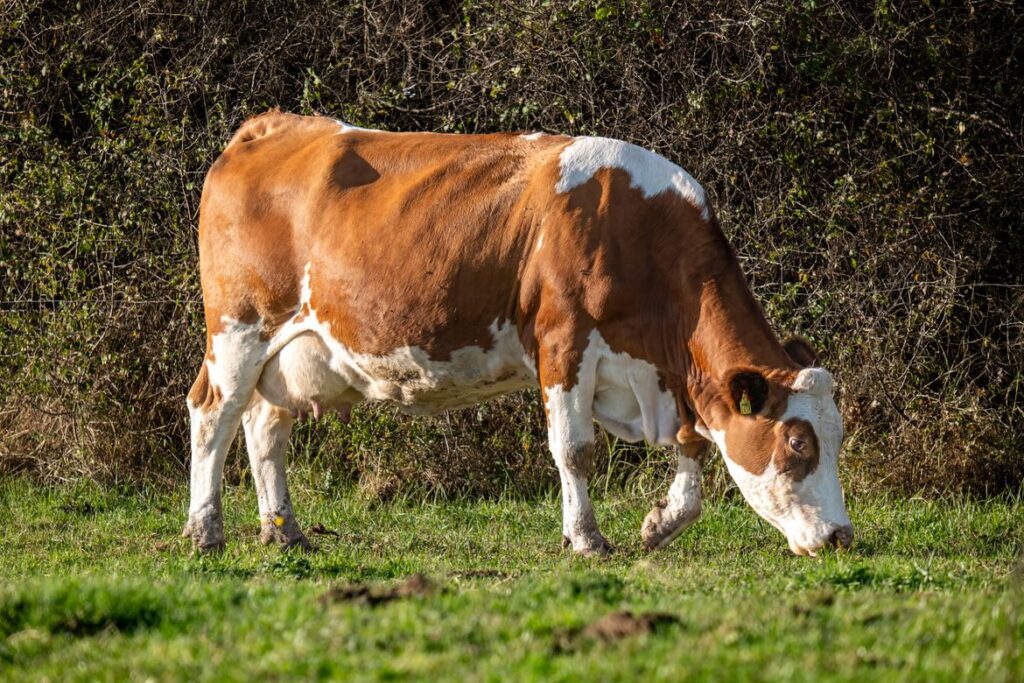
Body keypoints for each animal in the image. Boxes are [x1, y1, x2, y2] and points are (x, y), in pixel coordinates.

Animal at [183, 111, 854, 557]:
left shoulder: (673, 377)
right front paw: (586, 539)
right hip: (240, 328)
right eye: (798, 444)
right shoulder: (563, 342)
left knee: (265, 426)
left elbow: (693, 446)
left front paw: (661, 522)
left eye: (837, 437)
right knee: (213, 413)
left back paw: (285, 533)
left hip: (291, 351)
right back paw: (205, 530)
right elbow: (574, 449)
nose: (842, 536)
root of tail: (273, 126)